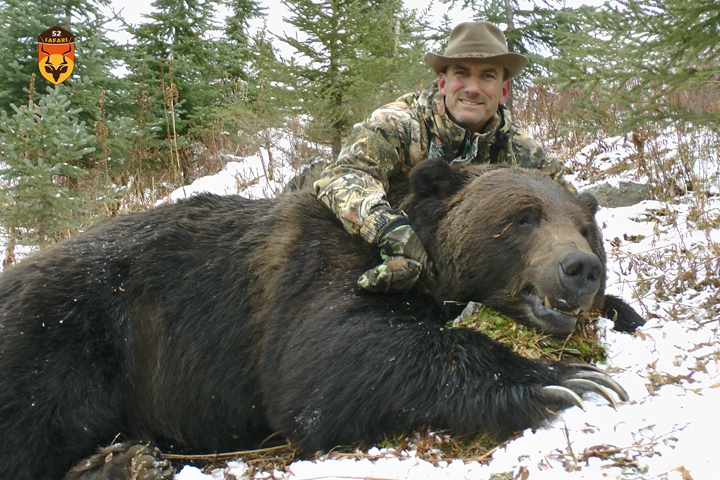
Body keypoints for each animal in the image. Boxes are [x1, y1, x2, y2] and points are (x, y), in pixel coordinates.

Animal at [0, 159, 640, 478]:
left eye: (584, 228)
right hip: (71, 331)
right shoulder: (325, 268)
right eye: (523, 217)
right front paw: (567, 379)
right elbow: (324, 361)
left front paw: (621, 315)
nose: (579, 268)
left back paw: (126, 460)